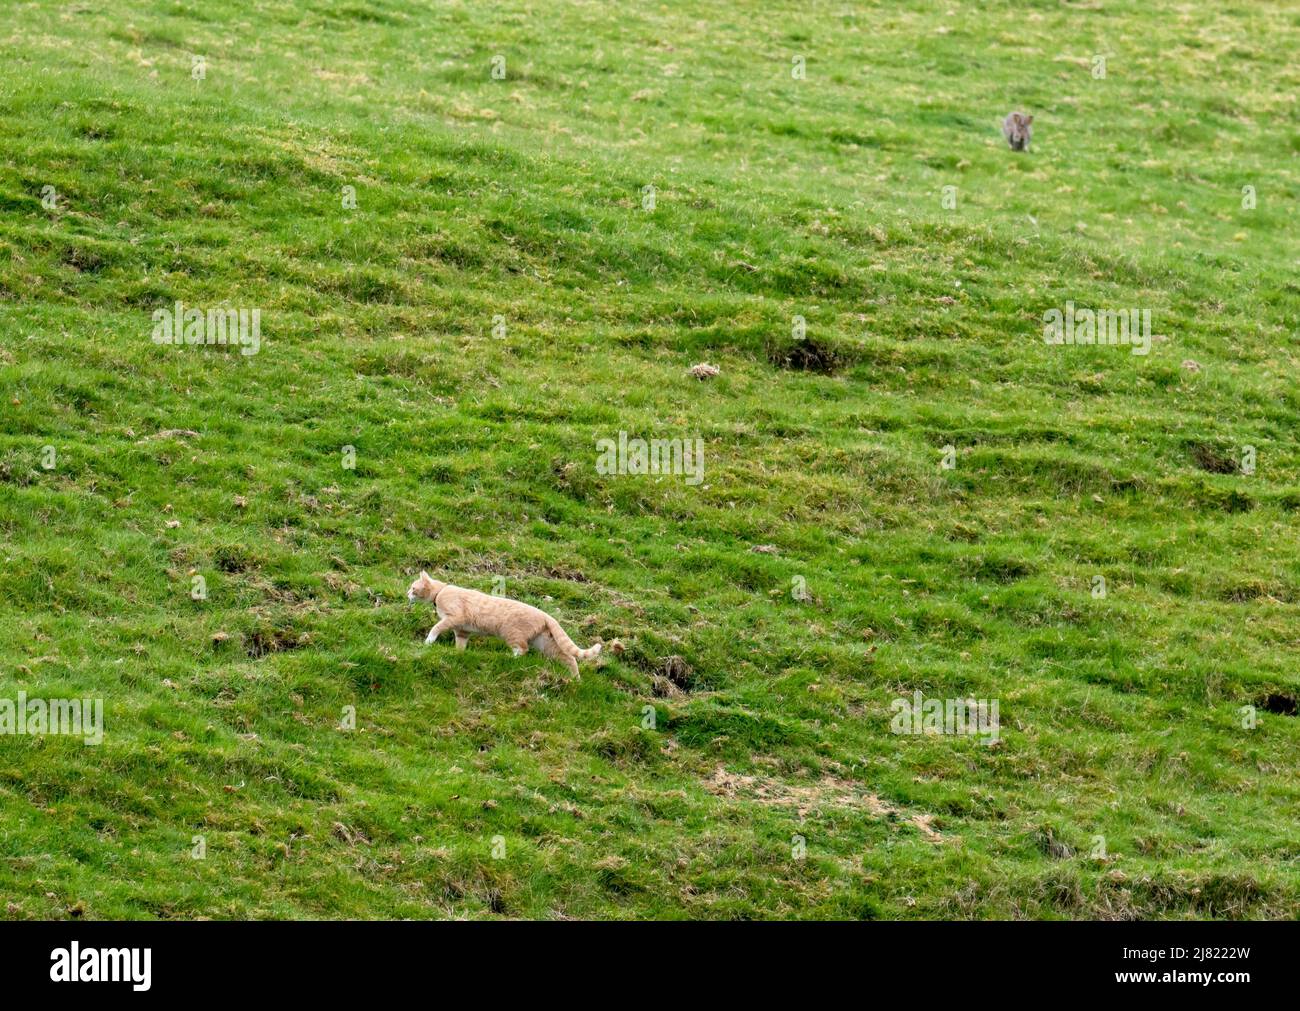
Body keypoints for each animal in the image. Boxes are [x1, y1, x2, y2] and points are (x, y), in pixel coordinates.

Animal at [408, 566, 600, 675]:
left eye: (412, 588)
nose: (406, 593)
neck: (440, 592)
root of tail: (546, 615)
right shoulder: (462, 631)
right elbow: (460, 646)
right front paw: (458, 654)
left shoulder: (454, 617)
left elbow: (435, 628)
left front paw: (428, 642)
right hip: (545, 643)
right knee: (569, 658)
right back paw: (575, 679)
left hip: (512, 633)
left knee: (522, 649)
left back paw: (509, 657)